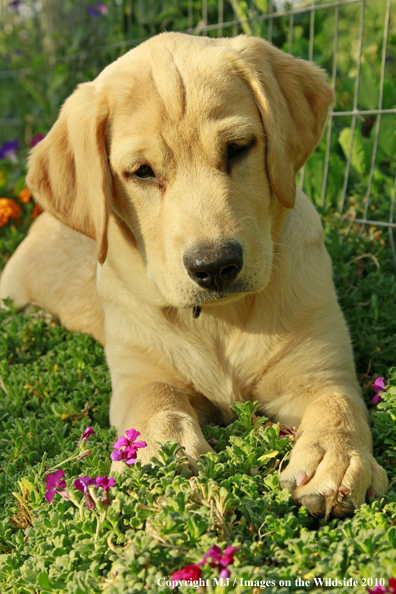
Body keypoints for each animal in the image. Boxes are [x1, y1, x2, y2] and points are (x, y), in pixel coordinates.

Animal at [1, 32, 388, 516]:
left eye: (238, 148)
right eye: (142, 172)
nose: (215, 266)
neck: (220, 321)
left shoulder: (320, 369)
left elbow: (338, 404)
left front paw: (336, 459)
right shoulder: (137, 376)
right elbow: (157, 401)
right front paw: (161, 454)